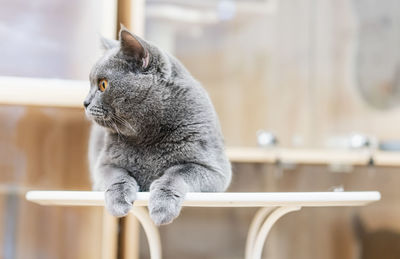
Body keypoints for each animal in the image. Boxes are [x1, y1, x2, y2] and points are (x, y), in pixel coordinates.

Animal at [83, 26, 231, 225]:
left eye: (103, 84)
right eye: (91, 83)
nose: (85, 102)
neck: (147, 137)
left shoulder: (213, 168)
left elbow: (176, 174)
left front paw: (162, 207)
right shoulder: (104, 164)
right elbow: (117, 177)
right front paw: (119, 202)